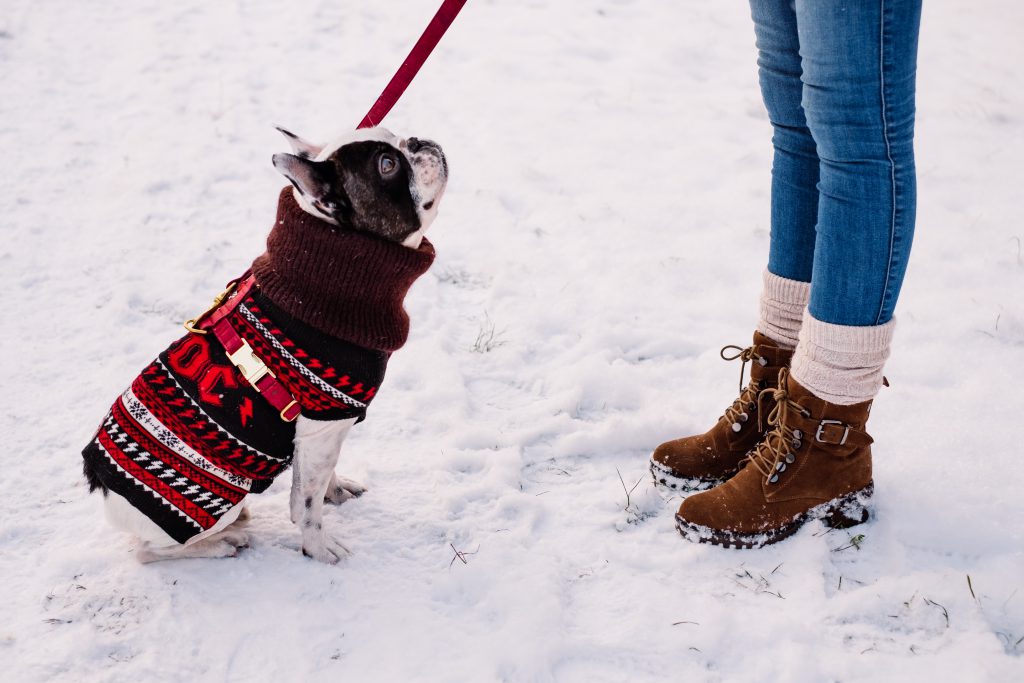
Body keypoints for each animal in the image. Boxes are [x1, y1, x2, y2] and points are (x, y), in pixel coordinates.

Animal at [79, 125, 448, 565]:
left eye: (398, 138)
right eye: (387, 164)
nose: (420, 141)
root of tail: (98, 481)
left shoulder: (323, 434)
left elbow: (319, 477)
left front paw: (335, 490)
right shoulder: (323, 424)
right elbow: (306, 504)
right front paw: (318, 548)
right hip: (218, 502)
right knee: (147, 552)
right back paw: (223, 543)